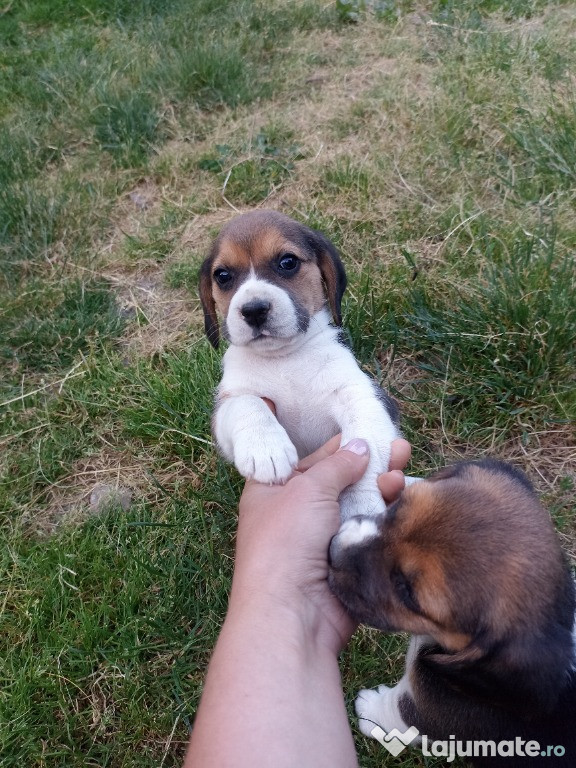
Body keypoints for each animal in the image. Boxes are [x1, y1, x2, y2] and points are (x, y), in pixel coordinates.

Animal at [328, 460, 576, 764]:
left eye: (407, 592)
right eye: (397, 509)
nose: (334, 549)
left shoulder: (431, 713)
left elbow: (398, 710)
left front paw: (370, 709)